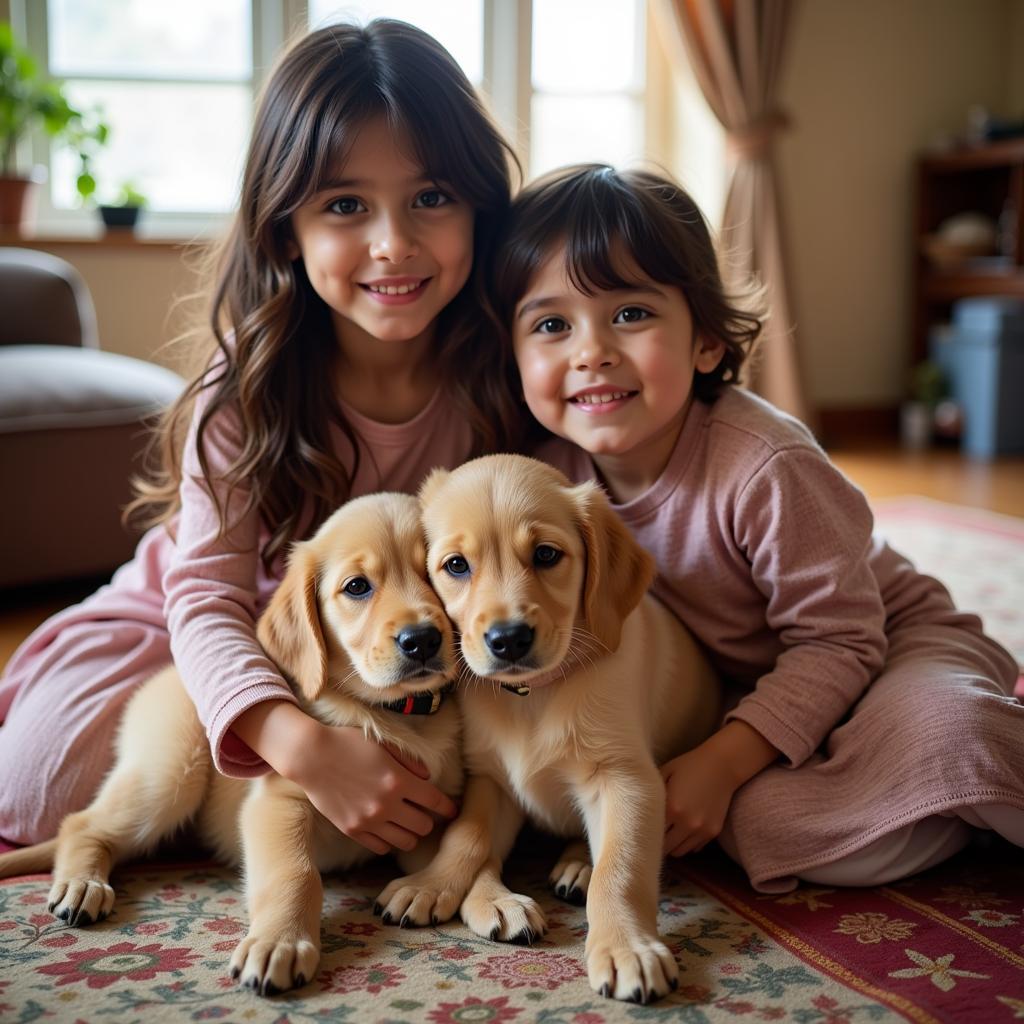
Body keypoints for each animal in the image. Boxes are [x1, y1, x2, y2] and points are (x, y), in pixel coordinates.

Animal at [0, 491, 460, 995]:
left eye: (441, 571)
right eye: (357, 587)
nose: (422, 639)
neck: (397, 715)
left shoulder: (426, 812)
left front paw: (475, 896)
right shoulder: (280, 801)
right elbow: (296, 874)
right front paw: (281, 942)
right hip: (170, 771)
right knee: (81, 824)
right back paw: (83, 885)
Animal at [376, 454, 720, 999]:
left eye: (545, 554)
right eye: (456, 565)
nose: (508, 639)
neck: (533, 696)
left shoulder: (627, 780)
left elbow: (620, 869)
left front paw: (625, 946)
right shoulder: (491, 780)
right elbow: (467, 837)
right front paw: (432, 884)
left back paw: (579, 864)